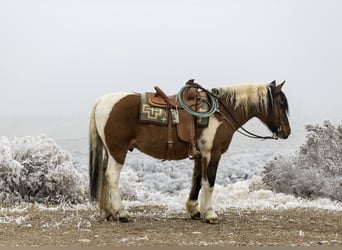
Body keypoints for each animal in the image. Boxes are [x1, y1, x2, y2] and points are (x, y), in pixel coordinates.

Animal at [88, 79, 288, 223]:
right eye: (281, 105)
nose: (287, 132)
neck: (221, 113)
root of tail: (101, 101)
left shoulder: (200, 155)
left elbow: (197, 180)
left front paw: (194, 210)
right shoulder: (212, 153)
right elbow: (209, 181)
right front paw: (210, 214)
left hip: (109, 151)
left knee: (104, 174)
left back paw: (109, 212)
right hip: (118, 150)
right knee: (111, 176)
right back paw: (122, 213)